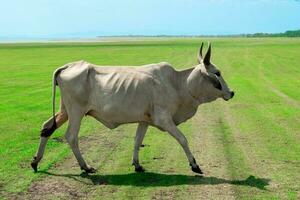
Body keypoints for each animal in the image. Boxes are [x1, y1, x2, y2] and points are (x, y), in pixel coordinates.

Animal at [32, 43, 234, 174]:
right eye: (217, 73)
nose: (231, 92)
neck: (177, 84)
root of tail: (67, 66)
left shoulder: (144, 120)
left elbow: (137, 141)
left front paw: (137, 165)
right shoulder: (164, 120)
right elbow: (183, 139)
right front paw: (194, 165)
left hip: (65, 111)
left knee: (47, 127)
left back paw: (35, 162)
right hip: (76, 112)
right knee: (71, 137)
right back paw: (85, 167)